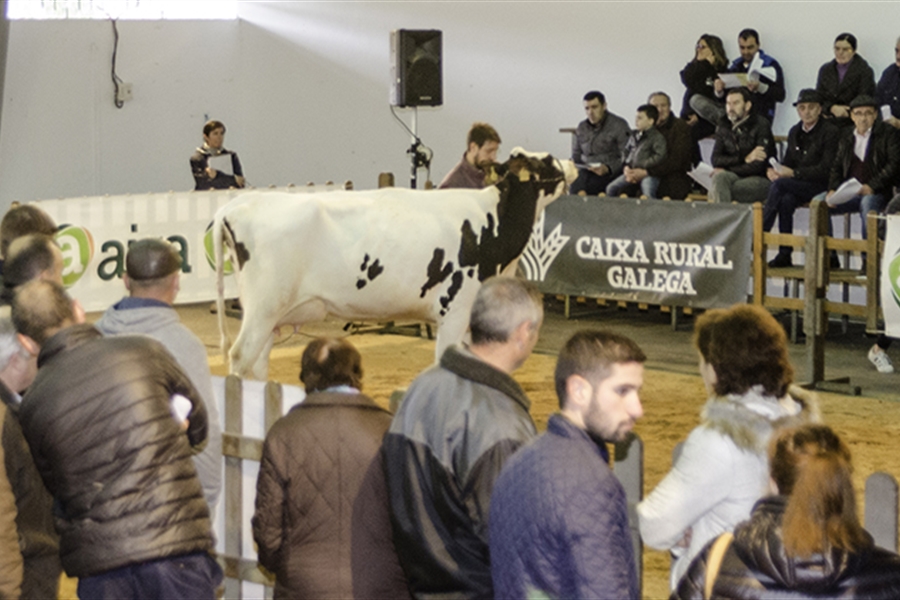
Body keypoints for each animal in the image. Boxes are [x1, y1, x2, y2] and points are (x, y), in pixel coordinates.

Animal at [214, 148, 572, 378]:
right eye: (546, 161)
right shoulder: (455, 311)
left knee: (258, 364)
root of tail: (240, 205)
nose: (572, 163)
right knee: (240, 357)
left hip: (268, 315)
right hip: (264, 307)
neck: (493, 223)